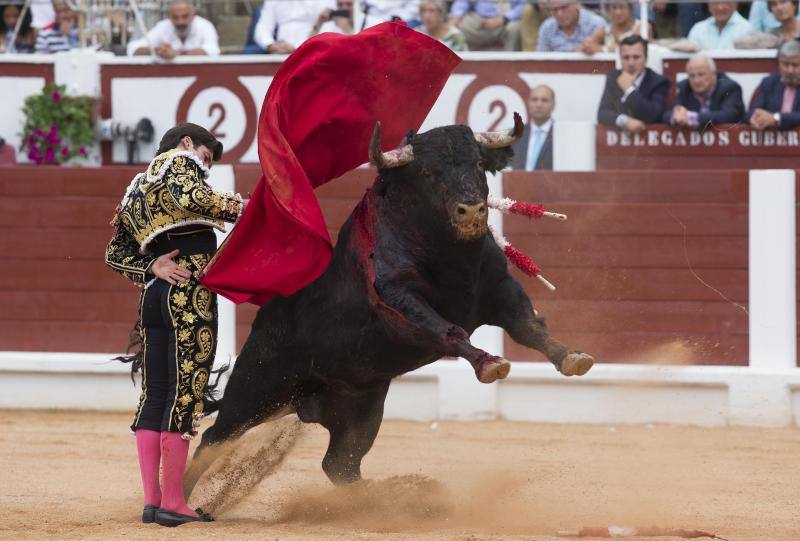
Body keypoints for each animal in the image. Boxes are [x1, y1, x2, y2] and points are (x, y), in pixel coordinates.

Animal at [189, 114, 592, 486]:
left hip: (362, 408)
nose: (472, 211)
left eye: (479, 163)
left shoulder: (500, 289)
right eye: (428, 172)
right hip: (256, 389)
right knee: (211, 440)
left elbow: (528, 326)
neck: (451, 256)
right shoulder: (402, 302)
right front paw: (490, 363)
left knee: (340, 464)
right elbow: (449, 332)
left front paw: (572, 357)